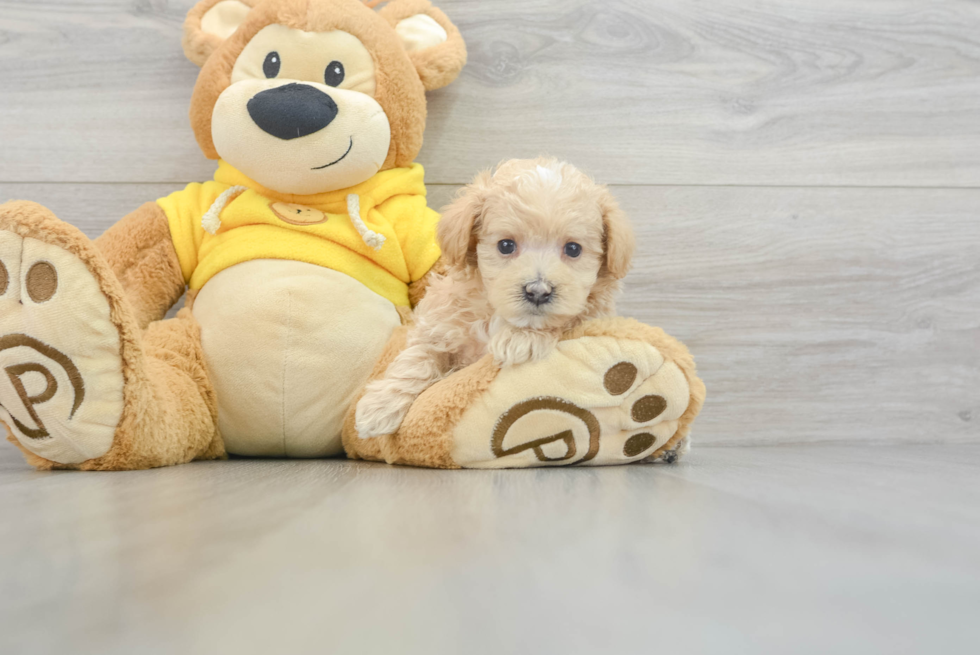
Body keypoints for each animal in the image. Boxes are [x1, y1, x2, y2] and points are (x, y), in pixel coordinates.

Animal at [354, 156, 636, 438]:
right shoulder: (441, 326)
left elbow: (567, 320)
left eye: (574, 249)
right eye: (506, 245)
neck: (497, 316)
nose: (538, 291)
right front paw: (378, 408)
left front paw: (521, 339)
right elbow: (417, 358)